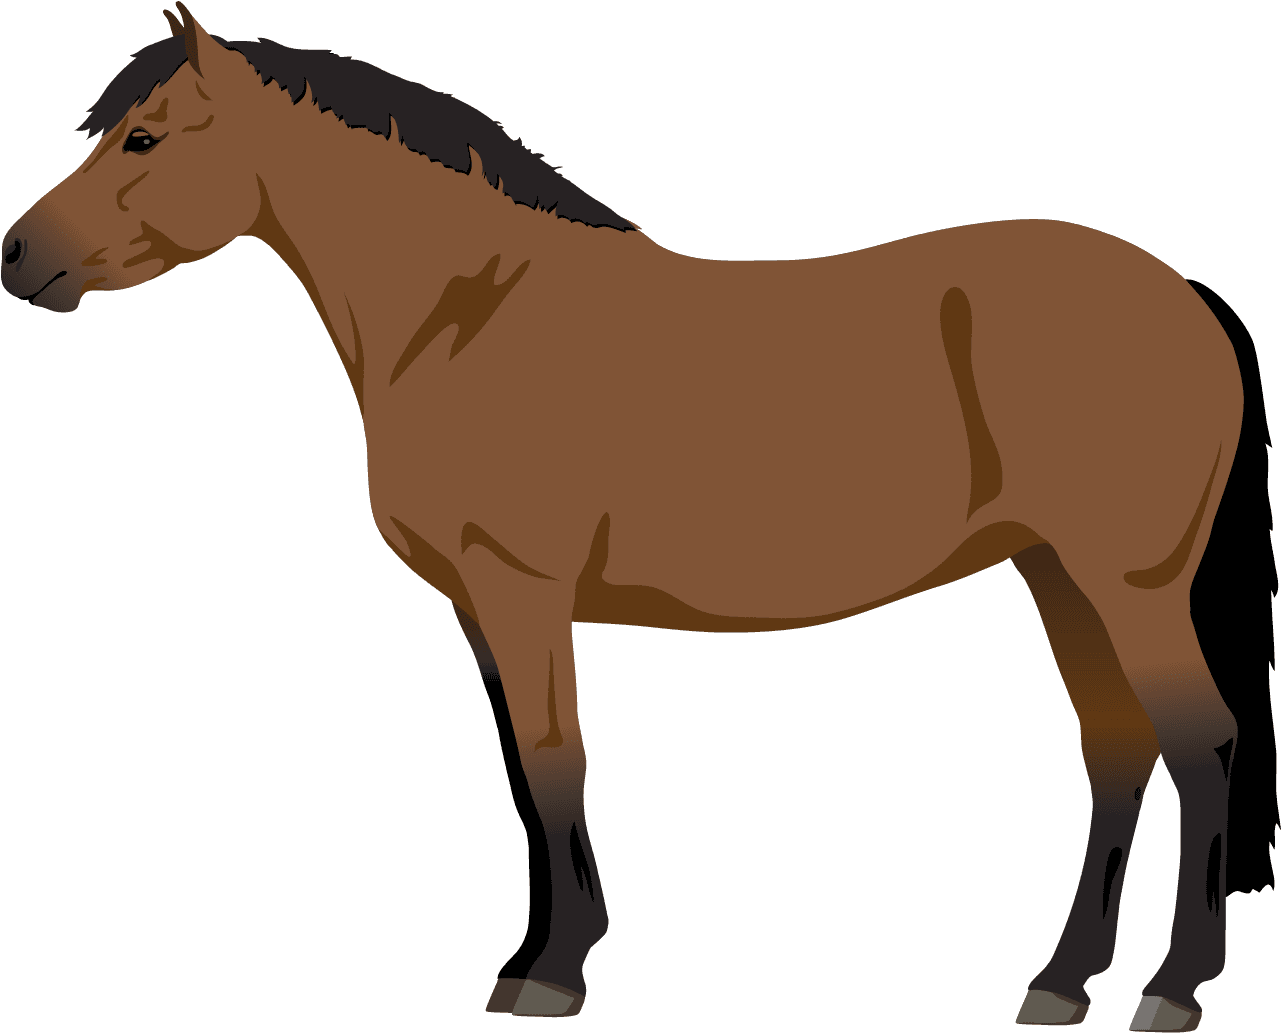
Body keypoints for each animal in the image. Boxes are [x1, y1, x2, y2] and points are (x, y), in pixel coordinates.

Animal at [3, 5, 1275, 1027]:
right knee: (1114, 751)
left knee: (1199, 744)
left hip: (1126, 582)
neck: (470, 313)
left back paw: (1172, 988)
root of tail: (1181, 291)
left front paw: (555, 973)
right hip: (1052, 573)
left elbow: (556, 759)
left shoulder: (522, 588)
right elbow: (520, 773)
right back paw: (1060, 982)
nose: (18, 256)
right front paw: (529, 955)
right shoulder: (478, 609)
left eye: (144, 138)